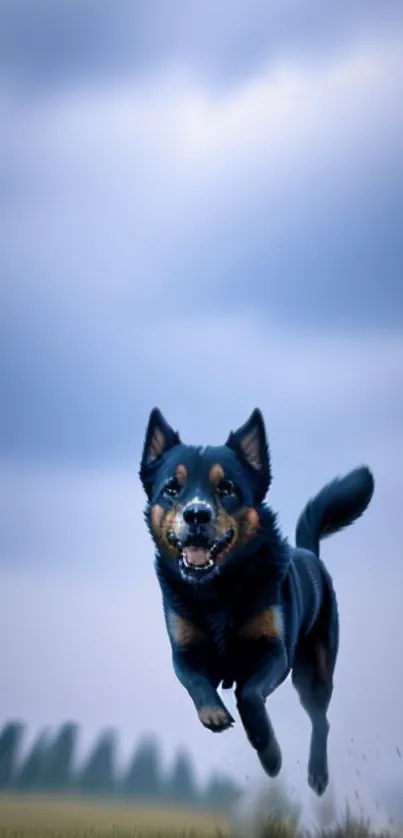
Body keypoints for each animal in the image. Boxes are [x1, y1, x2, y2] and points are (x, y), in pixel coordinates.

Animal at [140, 410, 376, 796]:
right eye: (172, 488)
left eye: (227, 488)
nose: (196, 514)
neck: (219, 588)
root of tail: (310, 552)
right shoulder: (184, 650)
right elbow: (195, 681)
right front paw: (214, 713)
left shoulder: (276, 652)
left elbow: (249, 695)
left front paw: (270, 753)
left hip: (315, 671)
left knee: (321, 720)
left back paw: (317, 774)